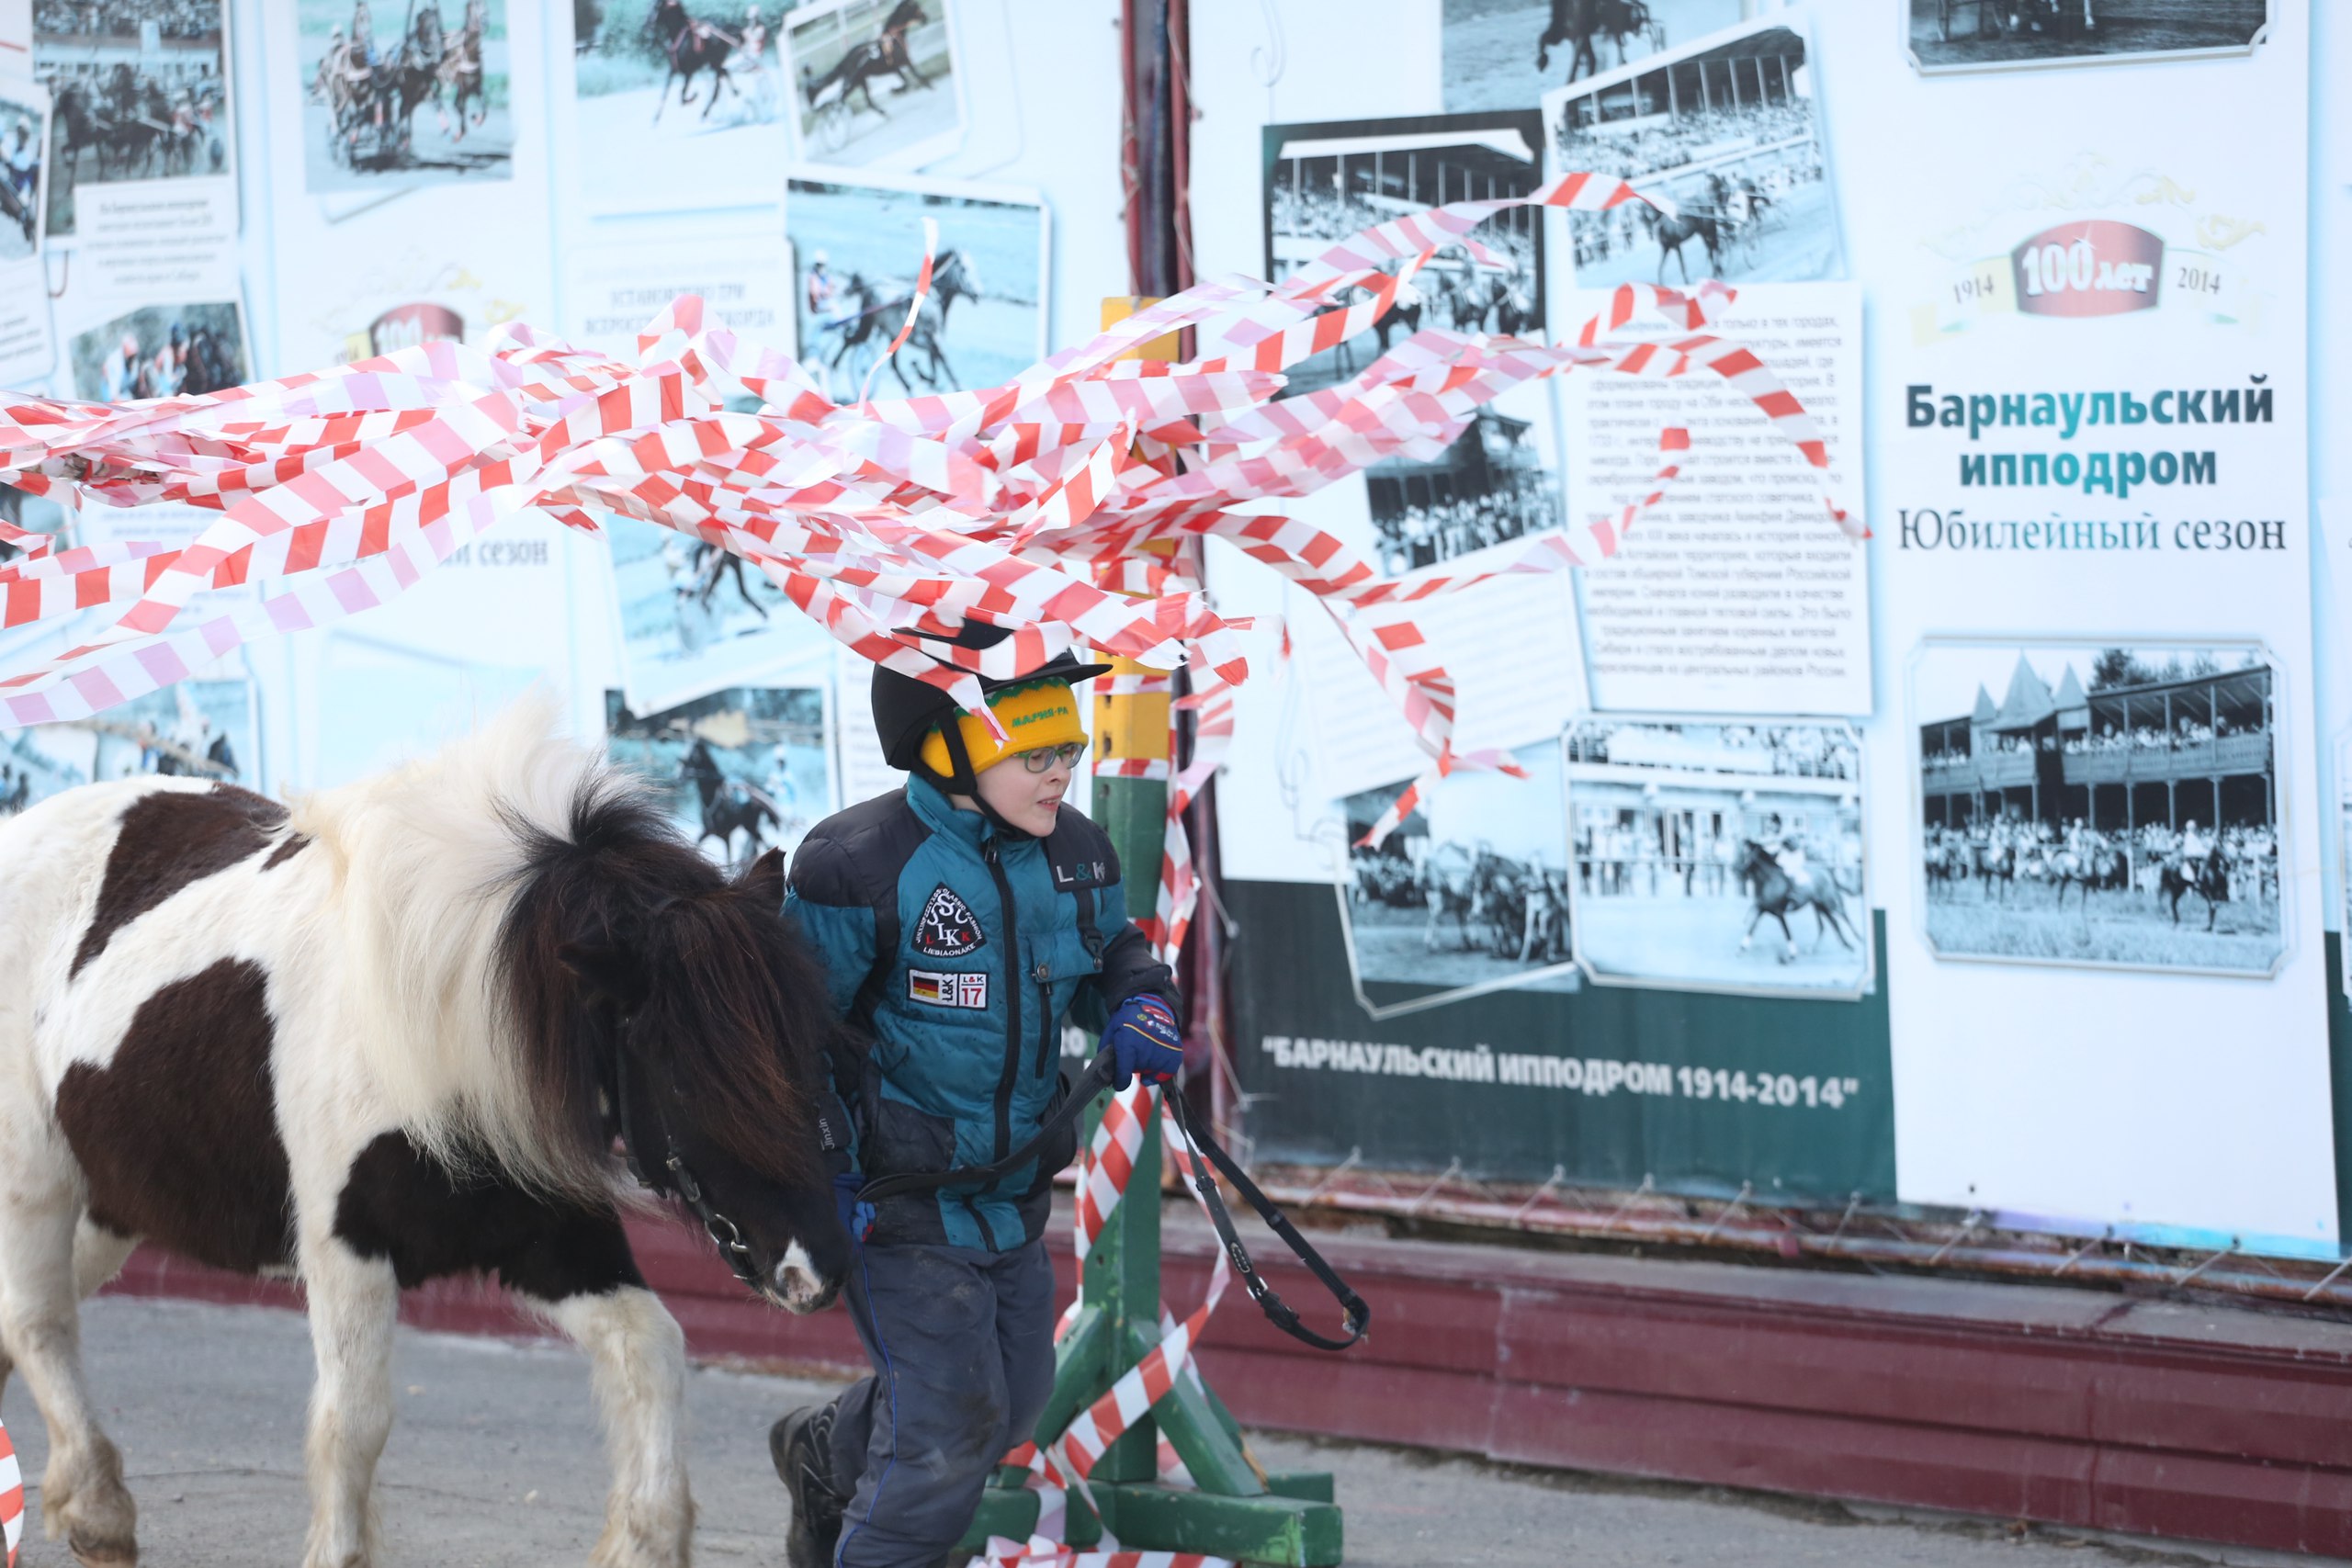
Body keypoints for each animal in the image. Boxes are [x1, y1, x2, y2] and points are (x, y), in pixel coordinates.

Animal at [0, 700, 855, 1568]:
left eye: (813, 1044)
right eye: (681, 1070)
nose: (815, 1271)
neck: (448, 1025)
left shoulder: (555, 1240)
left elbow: (650, 1349)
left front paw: (644, 1540)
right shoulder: (347, 1247)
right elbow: (353, 1421)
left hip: (112, 1205)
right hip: (34, 1182)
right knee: (39, 1320)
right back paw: (98, 1506)